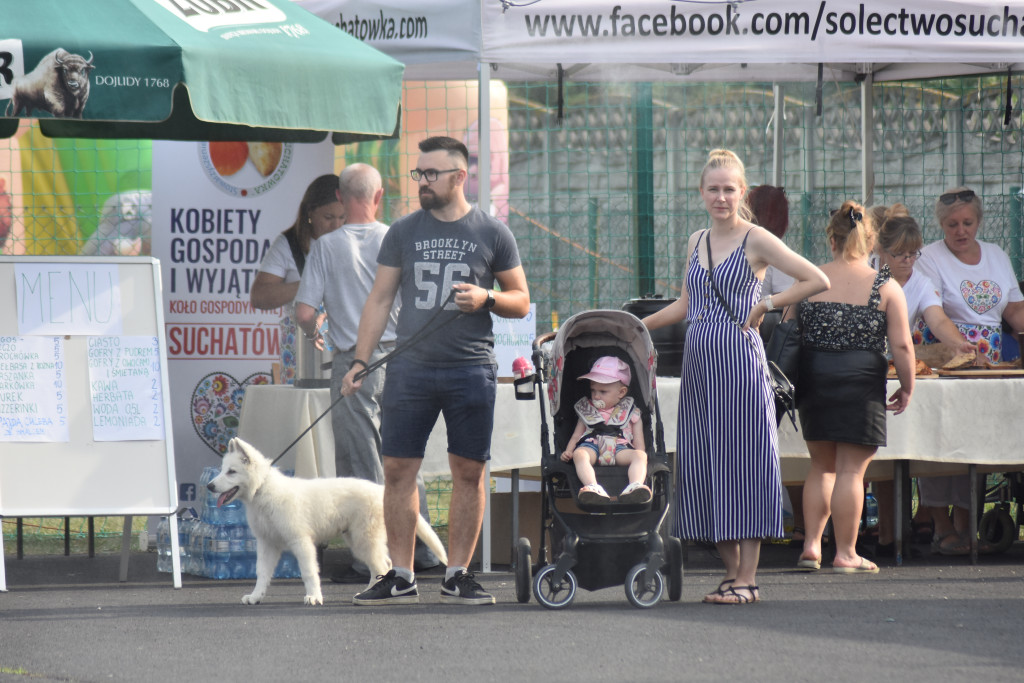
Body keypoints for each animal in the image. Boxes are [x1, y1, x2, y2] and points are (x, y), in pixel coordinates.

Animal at [207, 438, 448, 602]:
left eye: (231, 472)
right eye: (222, 470)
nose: (209, 486)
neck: (263, 489)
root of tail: (380, 490)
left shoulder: (301, 542)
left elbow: (308, 572)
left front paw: (314, 597)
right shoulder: (267, 544)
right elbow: (262, 573)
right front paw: (256, 596)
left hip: (364, 540)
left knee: (382, 565)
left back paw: (371, 595)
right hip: (358, 540)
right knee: (383, 564)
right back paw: (366, 592)